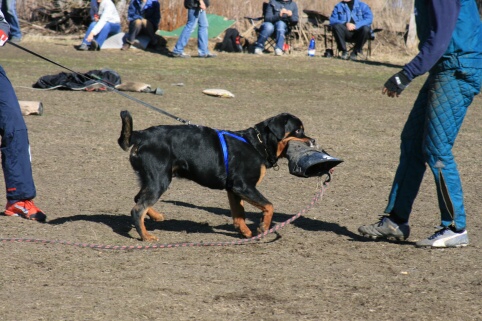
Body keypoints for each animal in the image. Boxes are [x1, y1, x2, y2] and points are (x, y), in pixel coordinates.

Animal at [118, 110, 314, 240]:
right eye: (298, 131)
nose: (312, 140)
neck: (258, 144)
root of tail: (140, 135)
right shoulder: (243, 185)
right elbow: (269, 206)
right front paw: (263, 227)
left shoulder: (234, 189)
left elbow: (239, 213)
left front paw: (244, 231)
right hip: (160, 179)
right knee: (138, 209)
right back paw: (146, 236)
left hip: (152, 179)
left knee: (138, 198)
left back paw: (156, 216)